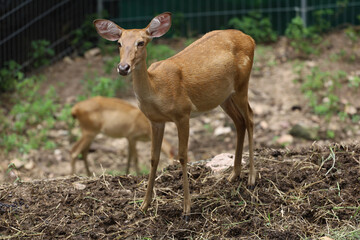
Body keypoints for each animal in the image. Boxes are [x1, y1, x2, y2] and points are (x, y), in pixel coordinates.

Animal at [93, 11, 256, 218]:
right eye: (119, 43)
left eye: (141, 42)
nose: (123, 68)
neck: (157, 90)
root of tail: (250, 38)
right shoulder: (155, 121)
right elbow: (154, 158)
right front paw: (143, 205)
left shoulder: (183, 113)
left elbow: (183, 156)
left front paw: (186, 208)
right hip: (224, 97)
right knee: (239, 122)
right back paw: (233, 175)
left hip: (242, 83)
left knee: (250, 118)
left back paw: (252, 178)